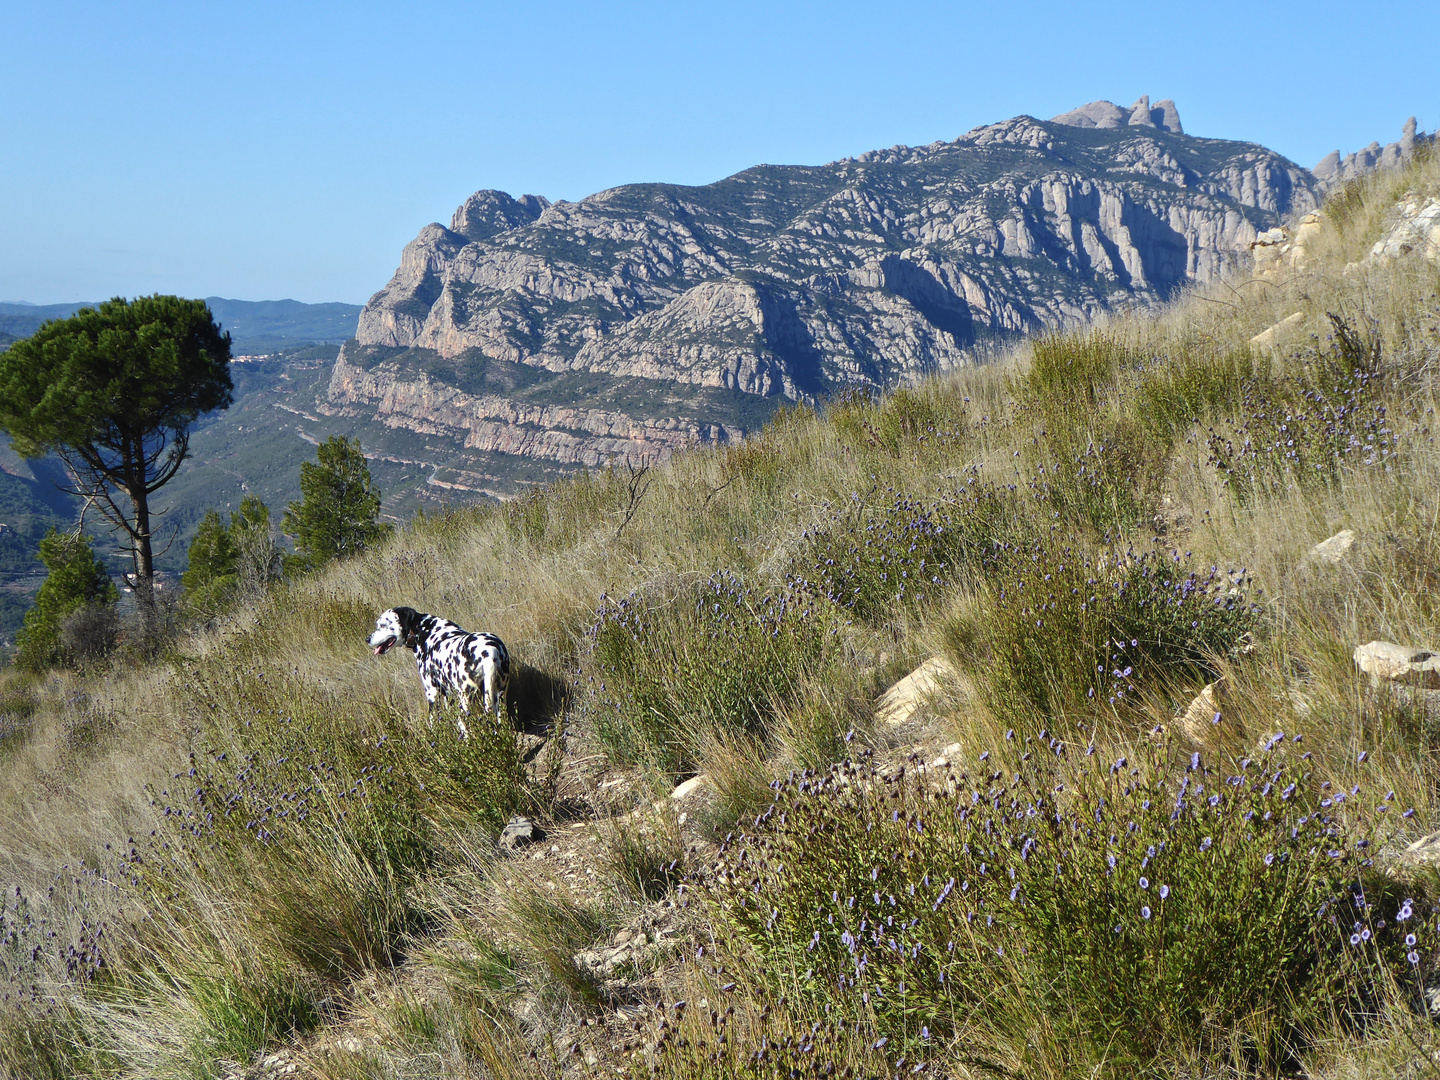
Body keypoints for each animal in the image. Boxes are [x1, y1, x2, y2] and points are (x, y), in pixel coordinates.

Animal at [371, 604, 512, 743]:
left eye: (382, 625)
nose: (368, 639)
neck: (422, 630)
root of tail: (490, 652)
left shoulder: (432, 694)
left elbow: (433, 722)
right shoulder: (447, 695)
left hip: (466, 700)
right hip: (498, 697)